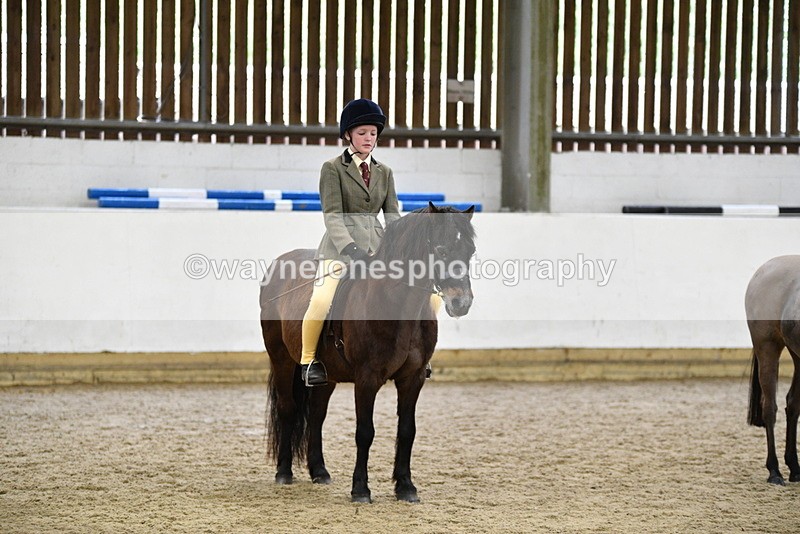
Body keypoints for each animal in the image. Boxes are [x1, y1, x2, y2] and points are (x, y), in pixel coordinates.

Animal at [259, 203, 476, 502]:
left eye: (470, 252)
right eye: (442, 250)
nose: (461, 303)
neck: (397, 306)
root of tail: (279, 263)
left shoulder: (413, 378)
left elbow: (407, 430)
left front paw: (405, 487)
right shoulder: (367, 378)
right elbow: (365, 432)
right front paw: (360, 489)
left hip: (327, 374)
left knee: (316, 415)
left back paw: (319, 472)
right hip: (281, 359)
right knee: (288, 409)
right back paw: (283, 473)